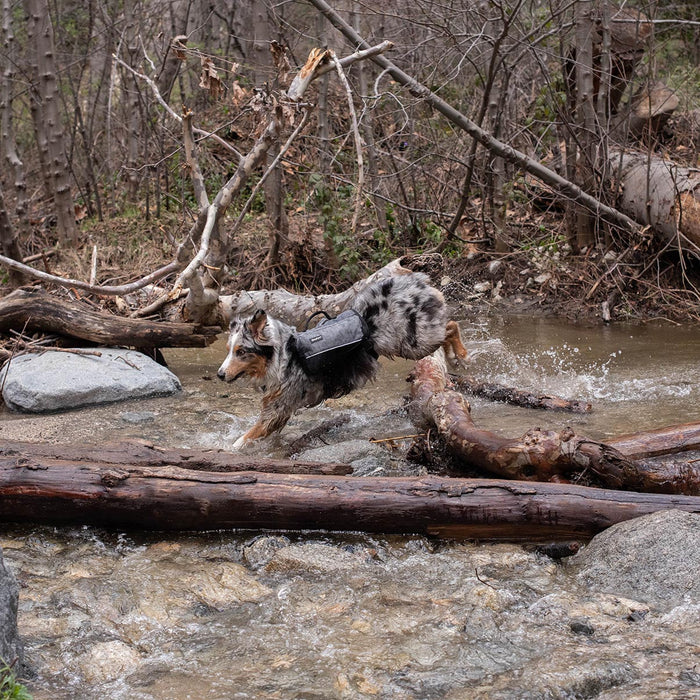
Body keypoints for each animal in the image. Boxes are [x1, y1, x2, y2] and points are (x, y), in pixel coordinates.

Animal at [216, 274, 468, 448]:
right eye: (228, 350)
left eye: (241, 351)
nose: (219, 374)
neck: (282, 357)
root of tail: (416, 281)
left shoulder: (279, 408)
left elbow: (248, 435)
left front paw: (229, 448)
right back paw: (454, 358)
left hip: (414, 342)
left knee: (451, 325)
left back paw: (461, 355)